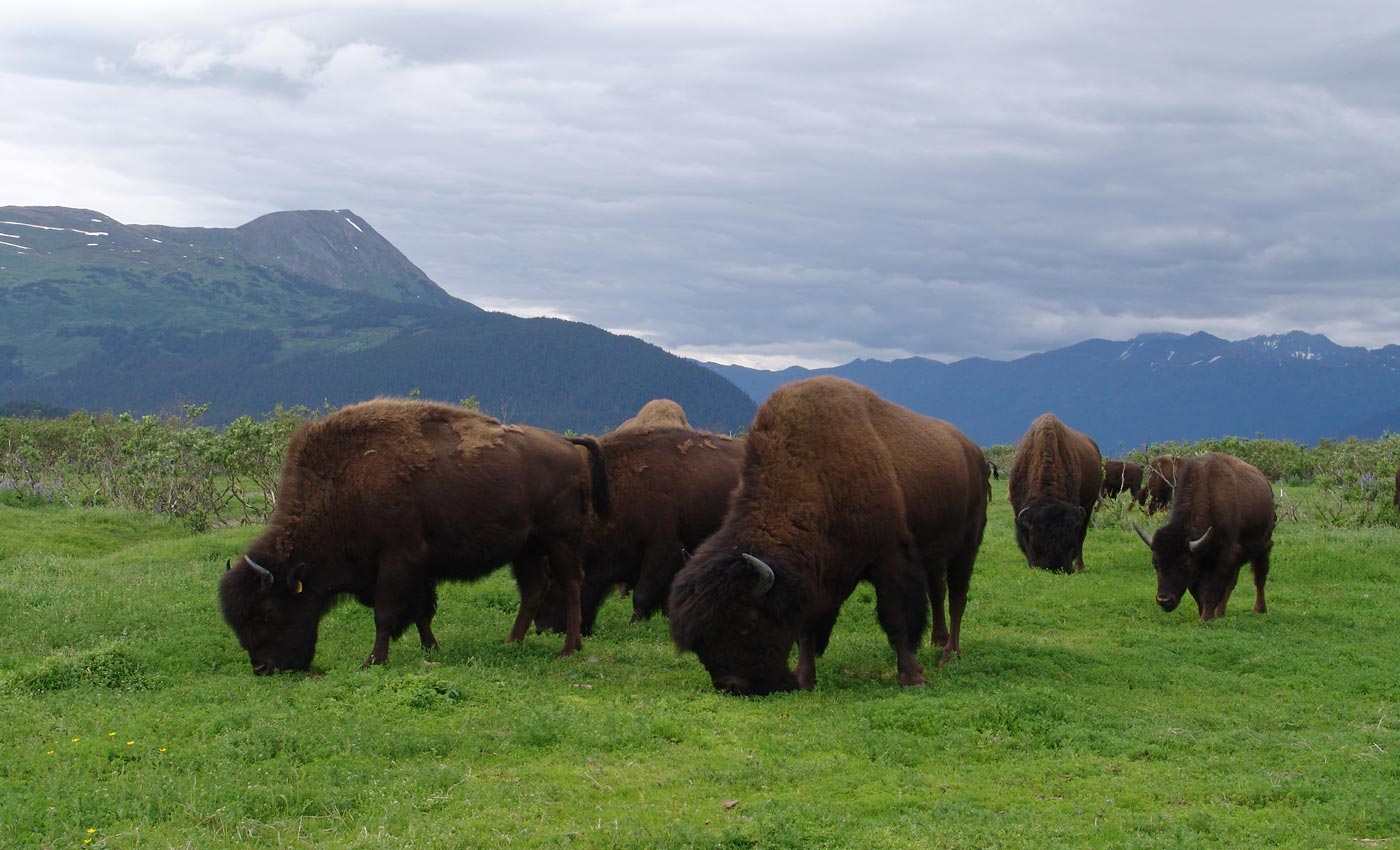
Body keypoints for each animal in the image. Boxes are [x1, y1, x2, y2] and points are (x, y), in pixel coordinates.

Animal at [218, 400, 607, 677]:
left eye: (265, 612)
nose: (263, 668)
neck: (344, 484)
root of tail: (567, 444)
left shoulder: (396, 560)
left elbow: (386, 613)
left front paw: (373, 661)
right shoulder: (416, 568)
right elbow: (420, 610)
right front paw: (430, 648)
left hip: (559, 540)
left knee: (571, 584)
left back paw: (568, 649)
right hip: (525, 548)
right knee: (534, 590)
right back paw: (511, 642)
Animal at [663, 375, 985, 694]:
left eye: (748, 624)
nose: (731, 685)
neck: (818, 474)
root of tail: (971, 450)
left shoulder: (890, 561)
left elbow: (895, 619)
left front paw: (911, 678)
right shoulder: (818, 577)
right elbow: (807, 630)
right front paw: (805, 679)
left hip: (967, 545)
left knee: (957, 597)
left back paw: (949, 654)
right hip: (935, 557)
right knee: (938, 593)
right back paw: (937, 642)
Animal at [1008, 414, 1103, 574]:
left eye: (1070, 544)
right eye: (1036, 545)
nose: (1055, 567)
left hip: (1090, 504)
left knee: (1083, 534)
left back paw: (1079, 566)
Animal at [1131, 453, 1276, 624]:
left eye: (1184, 563)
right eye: (1155, 563)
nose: (1164, 600)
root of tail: (1265, 482)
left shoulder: (1223, 557)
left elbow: (1211, 589)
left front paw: (1205, 618)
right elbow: (1198, 592)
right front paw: (1205, 614)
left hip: (1263, 545)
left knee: (1259, 577)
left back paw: (1260, 609)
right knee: (1232, 583)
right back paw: (1220, 612)